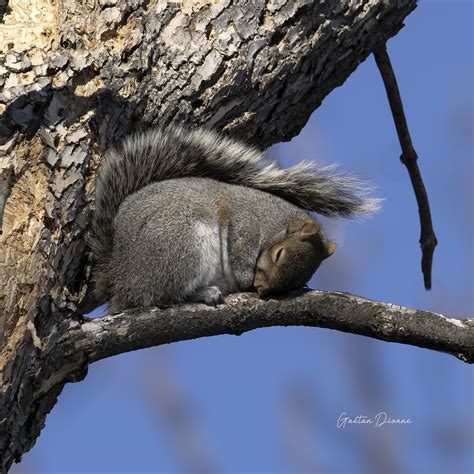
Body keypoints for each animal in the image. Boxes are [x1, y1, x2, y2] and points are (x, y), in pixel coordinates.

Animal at [90, 126, 382, 312]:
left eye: (300, 281)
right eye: (279, 254)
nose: (261, 289)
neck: (275, 223)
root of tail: (120, 278)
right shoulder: (244, 222)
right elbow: (240, 250)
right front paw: (243, 279)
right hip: (181, 245)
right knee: (160, 296)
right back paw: (203, 293)